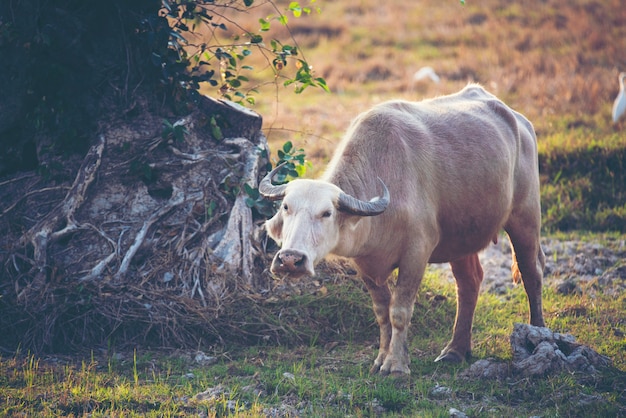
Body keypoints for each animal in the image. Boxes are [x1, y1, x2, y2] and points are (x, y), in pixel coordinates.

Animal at [258, 84, 540, 376]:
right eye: (287, 207)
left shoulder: (417, 253)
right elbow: (382, 312)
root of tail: (520, 122)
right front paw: (381, 359)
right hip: (463, 237)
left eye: (326, 213)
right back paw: (455, 351)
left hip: (525, 216)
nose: (290, 260)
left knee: (532, 273)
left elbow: (400, 310)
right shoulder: (364, 264)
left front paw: (396, 364)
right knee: (469, 283)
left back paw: (536, 335)